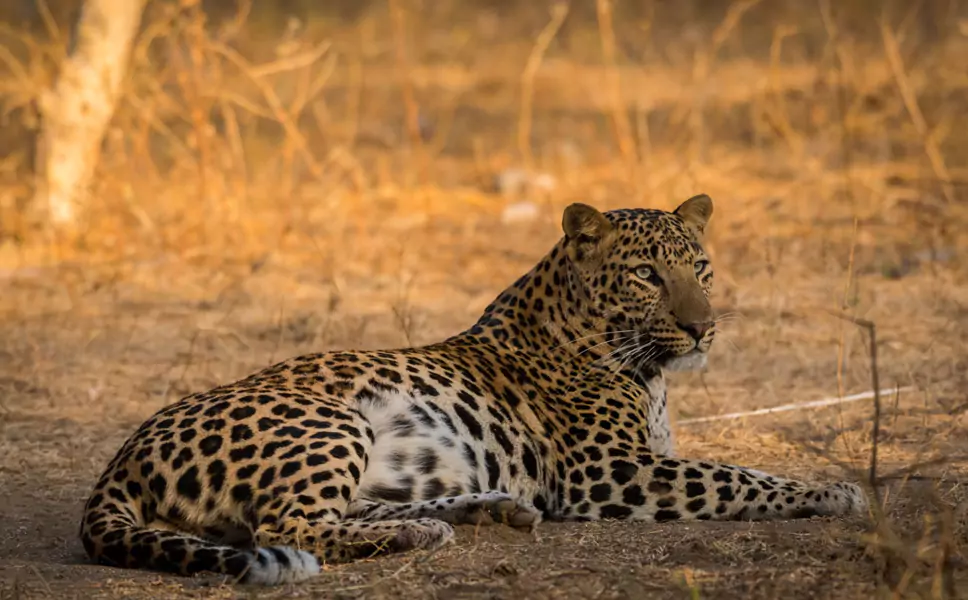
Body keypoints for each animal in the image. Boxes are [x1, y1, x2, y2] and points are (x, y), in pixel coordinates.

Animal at [79, 194, 868, 584]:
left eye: (700, 267)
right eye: (647, 274)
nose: (703, 328)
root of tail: (118, 462)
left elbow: (732, 469)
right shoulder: (610, 471)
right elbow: (738, 474)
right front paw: (836, 490)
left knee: (340, 509)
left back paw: (479, 512)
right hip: (328, 419)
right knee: (287, 526)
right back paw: (431, 527)